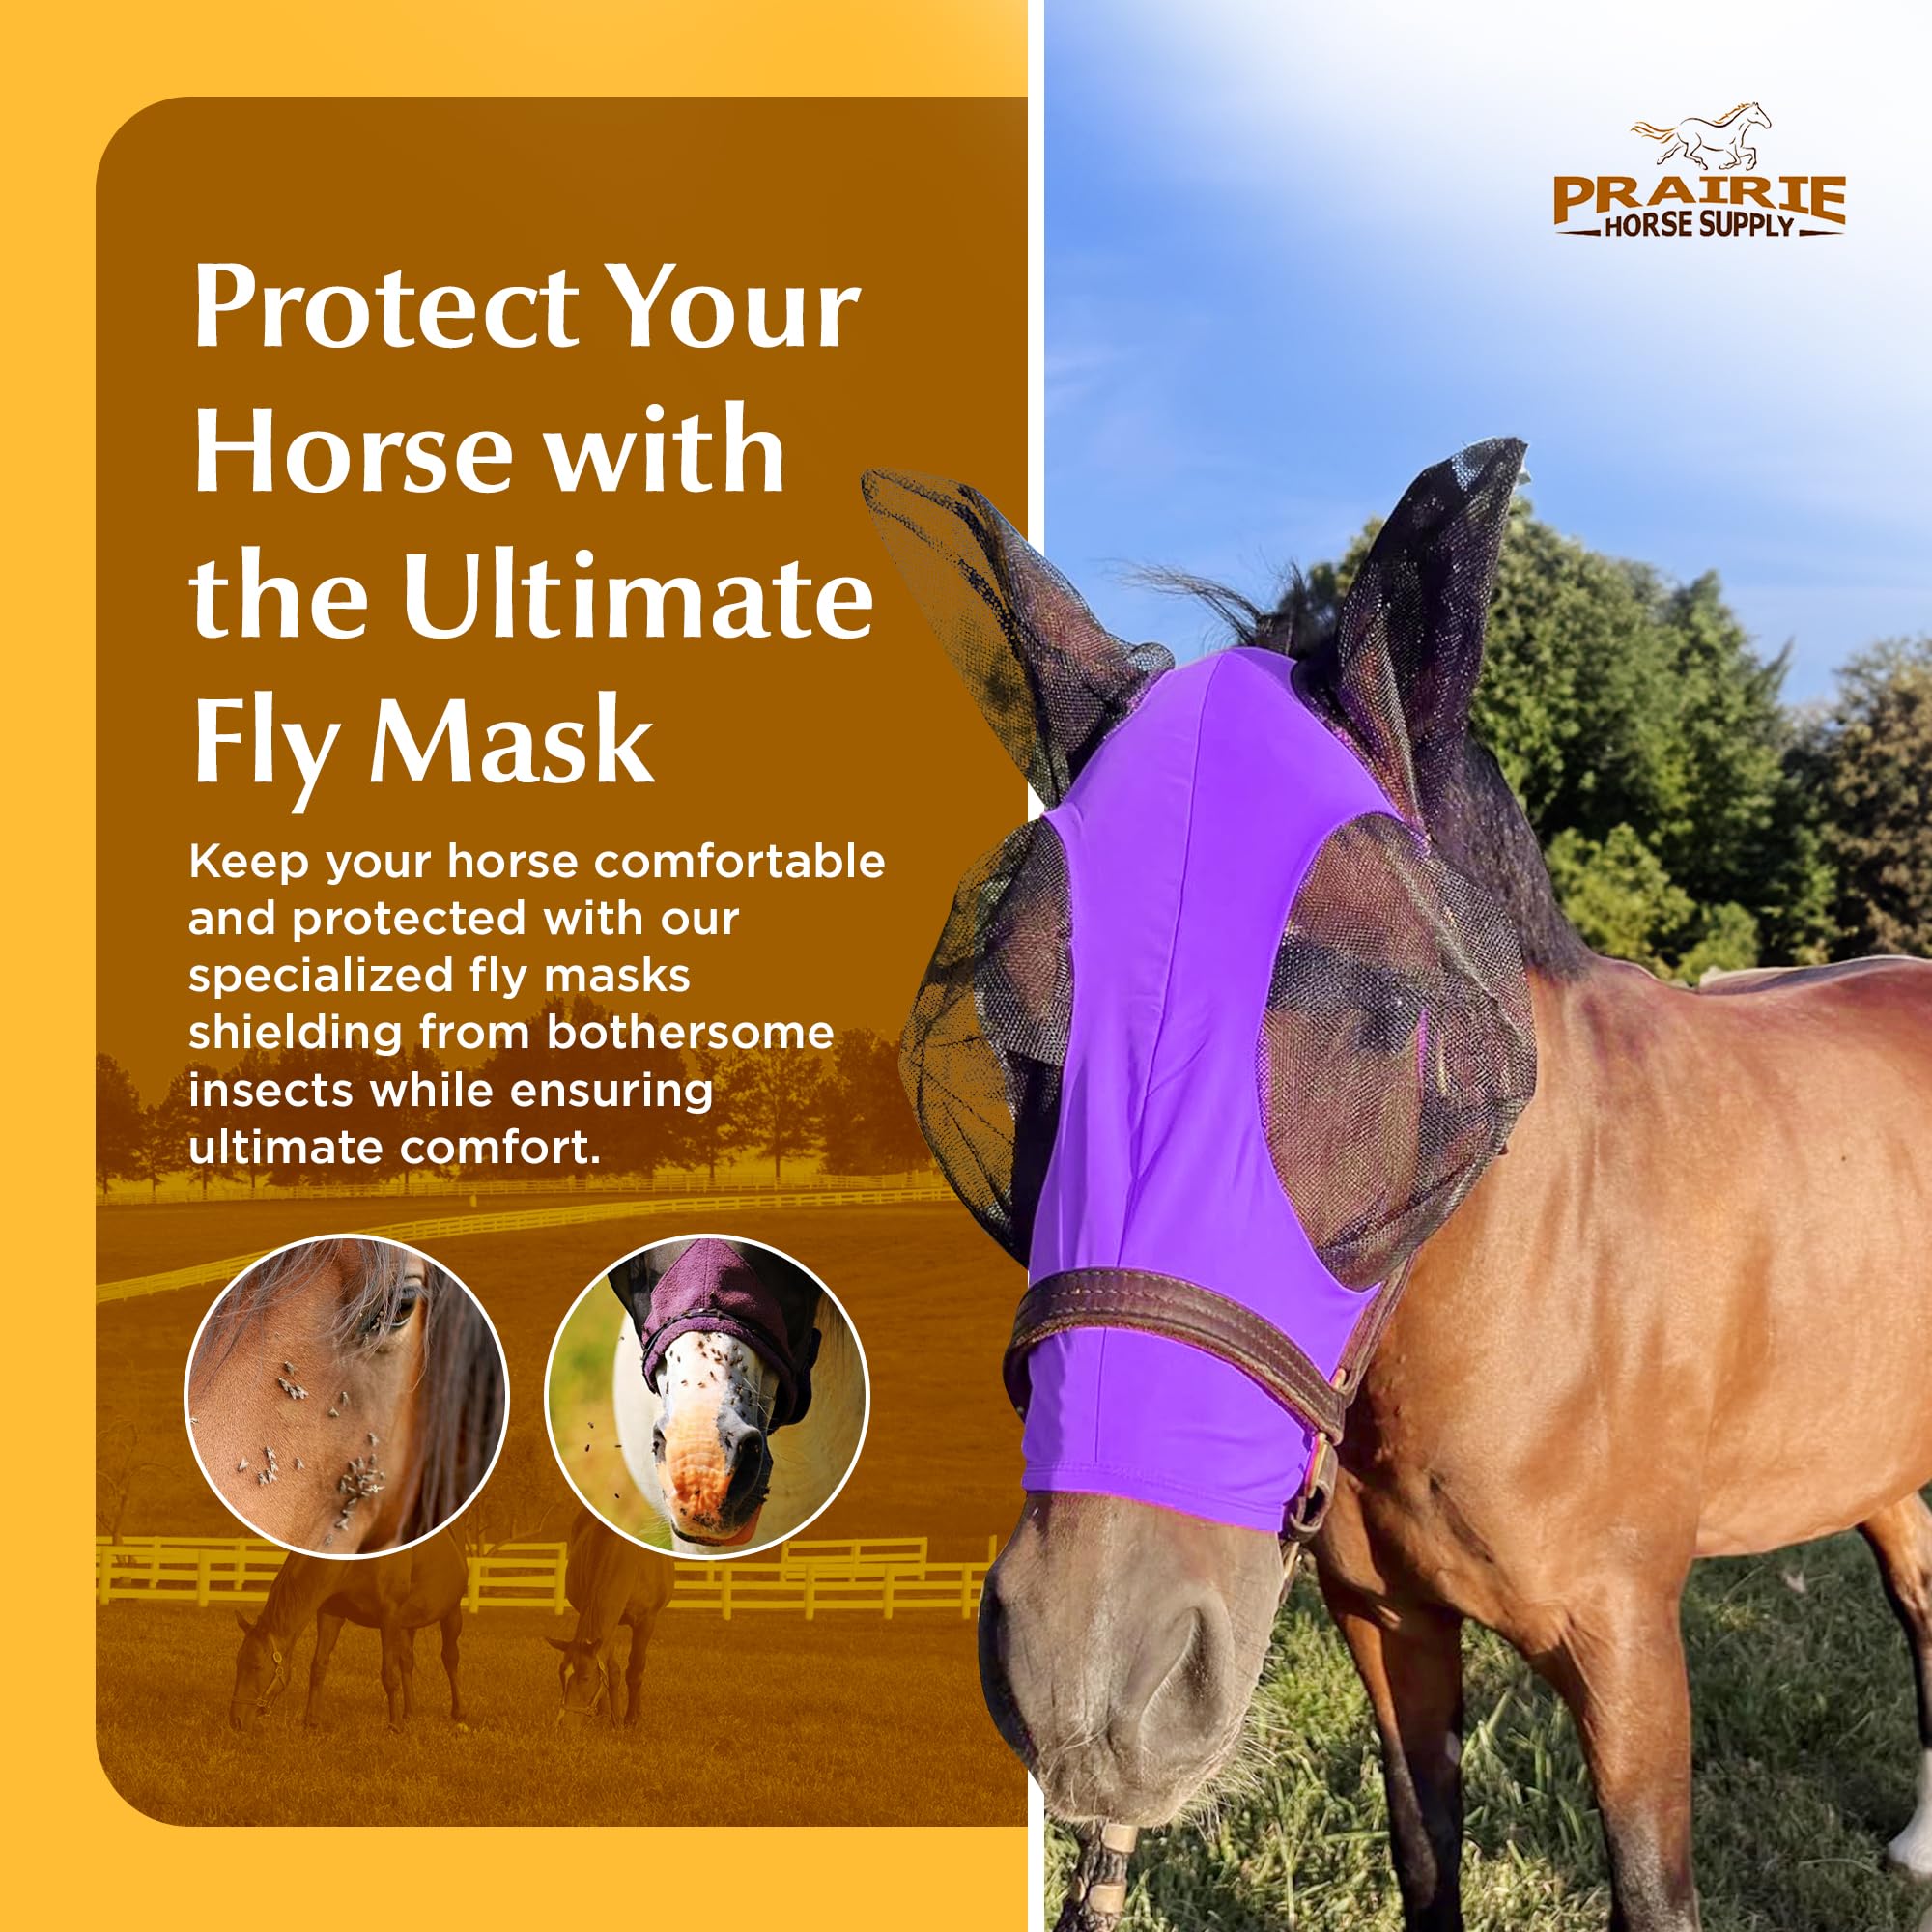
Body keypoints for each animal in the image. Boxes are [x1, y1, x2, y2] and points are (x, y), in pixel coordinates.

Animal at [228, 1529, 468, 1732]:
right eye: (238, 1663)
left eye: (256, 1666)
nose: (236, 1721)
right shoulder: (331, 1613)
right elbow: (318, 1666)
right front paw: (311, 1722)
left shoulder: (389, 1618)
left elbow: (388, 1675)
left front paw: (395, 1725)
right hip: (408, 1624)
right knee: (407, 1662)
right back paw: (409, 1712)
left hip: (452, 1613)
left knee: (450, 1658)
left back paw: (458, 1713)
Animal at [545, 1506, 675, 1724]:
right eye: (561, 1674)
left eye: (586, 1678)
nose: (563, 1723)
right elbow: (610, 1669)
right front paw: (612, 1716)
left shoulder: (646, 1621)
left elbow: (635, 1670)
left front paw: (630, 1720)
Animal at [865, 446, 1932, 1931]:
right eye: (1013, 1030)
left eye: (1389, 1024)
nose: (1090, 1682)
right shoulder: (1389, 1626)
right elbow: (1424, 1849)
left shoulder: (1629, 1647)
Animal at [1631, 102, 1771, 172]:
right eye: (1757, 113)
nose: (1768, 125)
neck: (1735, 130)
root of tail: (1679, 126)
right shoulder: (1730, 149)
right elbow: (1738, 161)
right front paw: (1724, 166)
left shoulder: (1739, 148)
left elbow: (1752, 150)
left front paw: (1749, 166)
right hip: (1695, 143)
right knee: (1686, 154)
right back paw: (1703, 164)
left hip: (1683, 143)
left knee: (1672, 151)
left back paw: (1660, 160)